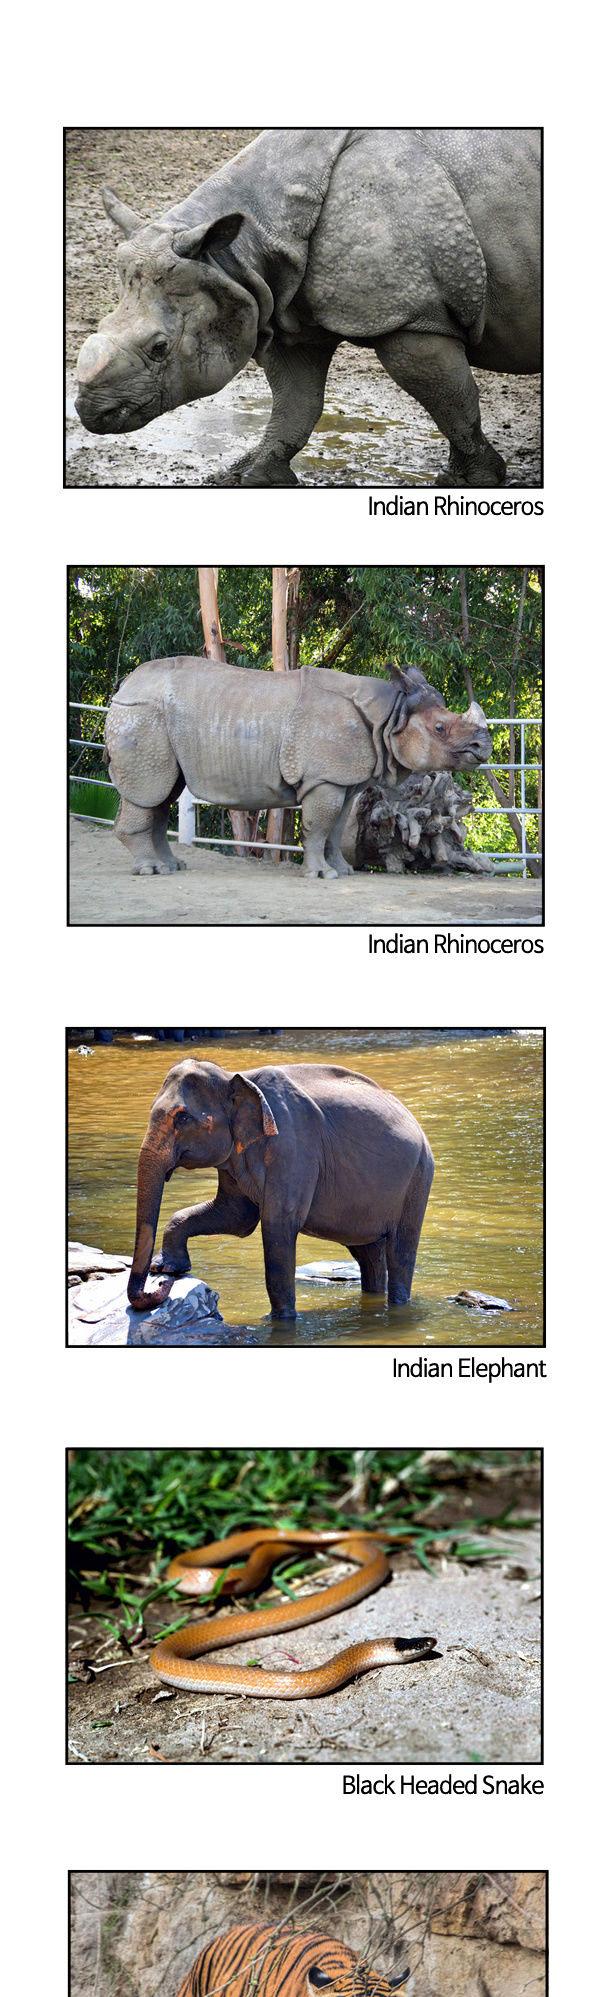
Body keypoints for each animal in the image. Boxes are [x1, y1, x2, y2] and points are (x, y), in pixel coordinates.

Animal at [74, 127, 541, 488]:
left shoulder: (412, 317)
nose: (89, 412)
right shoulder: (282, 308)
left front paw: (470, 480)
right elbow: (296, 401)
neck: (237, 251)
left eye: (160, 348)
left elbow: (451, 398)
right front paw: (247, 476)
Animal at [104, 659, 491, 879]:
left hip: (158, 722)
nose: (482, 748)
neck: (391, 713)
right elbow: (318, 825)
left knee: (163, 795)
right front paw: (321, 876)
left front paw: (343, 871)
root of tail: (123, 687)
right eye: (440, 728)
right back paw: (151, 871)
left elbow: (337, 826)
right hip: (142, 716)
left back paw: (172, 867)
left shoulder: (345, 780)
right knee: (148, 792)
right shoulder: (325, 778)